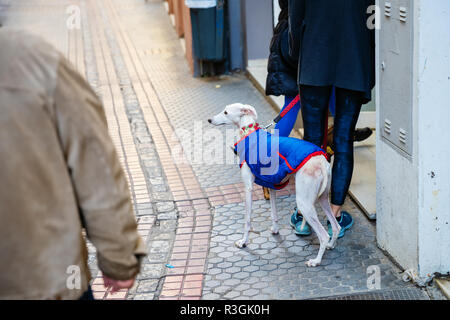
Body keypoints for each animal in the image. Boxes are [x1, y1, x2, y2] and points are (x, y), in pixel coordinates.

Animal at [207, 104, 342, 266]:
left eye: (226, 112)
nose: (209, 120)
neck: (249, 132)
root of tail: (322, 161)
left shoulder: (248, 188)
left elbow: (247, 220)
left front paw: (243, 242)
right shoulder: (272, 186)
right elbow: (274, 213)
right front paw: (275, 230)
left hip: (304, 203)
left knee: (324, 235)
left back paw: (316, 260)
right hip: (323, 198)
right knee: (336, 226)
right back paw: (331, 245)